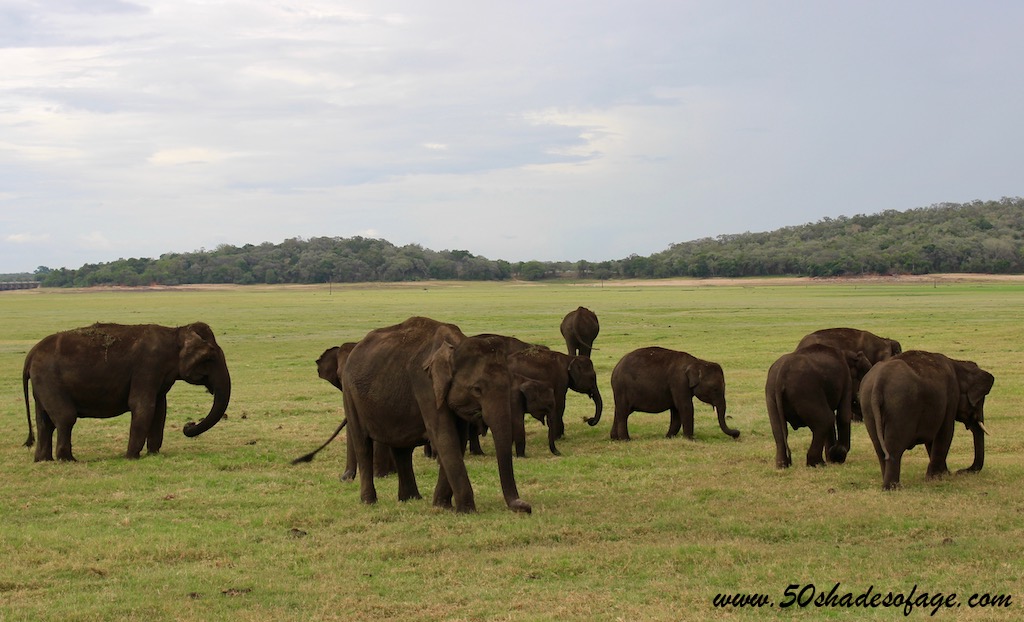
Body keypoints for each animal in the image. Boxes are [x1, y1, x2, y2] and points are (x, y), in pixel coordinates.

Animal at [22, 321, 232, 463]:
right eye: (209, 357)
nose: (188, 425)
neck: (175, 332)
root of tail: (30, 355)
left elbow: (160, 410)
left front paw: (153, 454)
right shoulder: (148, 366)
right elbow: (143, 406)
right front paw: (131, 457)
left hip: (42, 385)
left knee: (45, 421)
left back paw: (43, 460)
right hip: (49, 379)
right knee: (65, 417)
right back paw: (69, 460)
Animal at [342, 319, 532, 514]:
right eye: (477, 390)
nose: (526, 506)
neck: (456, 344)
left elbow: (458, 438)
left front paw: (442, 505)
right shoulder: (425, 385)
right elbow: (445, 437)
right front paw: (466, 511)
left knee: (402, 449)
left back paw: (411, 499)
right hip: (349, 394)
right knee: (363, 444)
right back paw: (369, 502)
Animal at [606, 346, 737, 442]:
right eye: (715, 389)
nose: (737, 433)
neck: (697, 362)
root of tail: (615, 369)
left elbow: (676, 410)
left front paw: (669, 437)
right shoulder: (679, 382)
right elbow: (685, 407)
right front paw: (691, 439)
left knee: (620, 411)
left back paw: (615, 438)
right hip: (622, 388)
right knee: (623, 412)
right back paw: (626, 440)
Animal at [860, 350, 995, 491]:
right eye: (980, 401)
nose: (960, 471)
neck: (958, 364)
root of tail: (879, 381)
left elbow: (933, 439)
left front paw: (942, 475)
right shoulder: (951, 396)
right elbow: (946, 432)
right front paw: (937, 478)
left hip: (868, 406)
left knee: (879, 448)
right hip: (900, 405)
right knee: (893, 447)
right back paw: (893, 487)